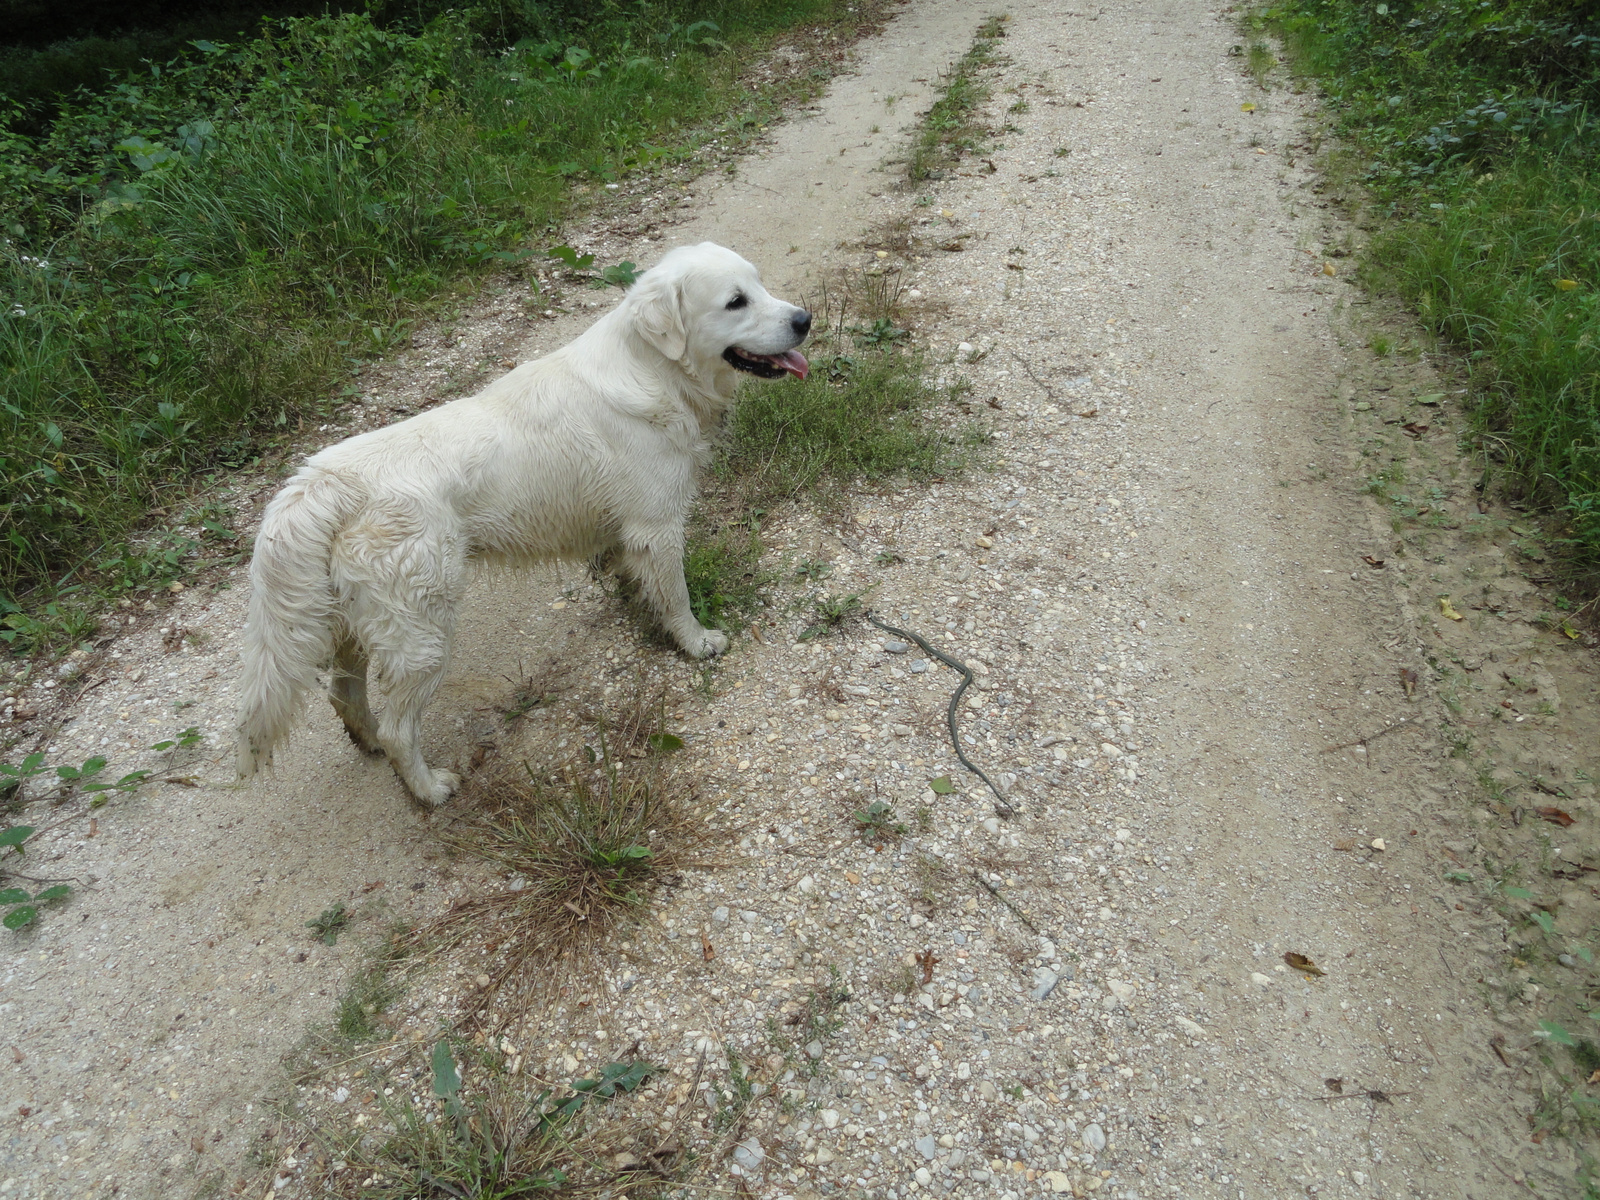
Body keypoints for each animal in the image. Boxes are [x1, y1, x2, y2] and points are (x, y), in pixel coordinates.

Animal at [233, 241, 812, 809]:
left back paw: (370, 739)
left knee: (344, 695)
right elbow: (677, 597)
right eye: (735, 302)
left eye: (759, 285)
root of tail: (322, 481)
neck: (653, 369)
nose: (804, 319)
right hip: (422, 634)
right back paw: (428, 789)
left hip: (354, 625)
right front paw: (696, 643)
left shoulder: (631, 534)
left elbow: (639, 582)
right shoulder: (657, 526)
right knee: (401, 729)